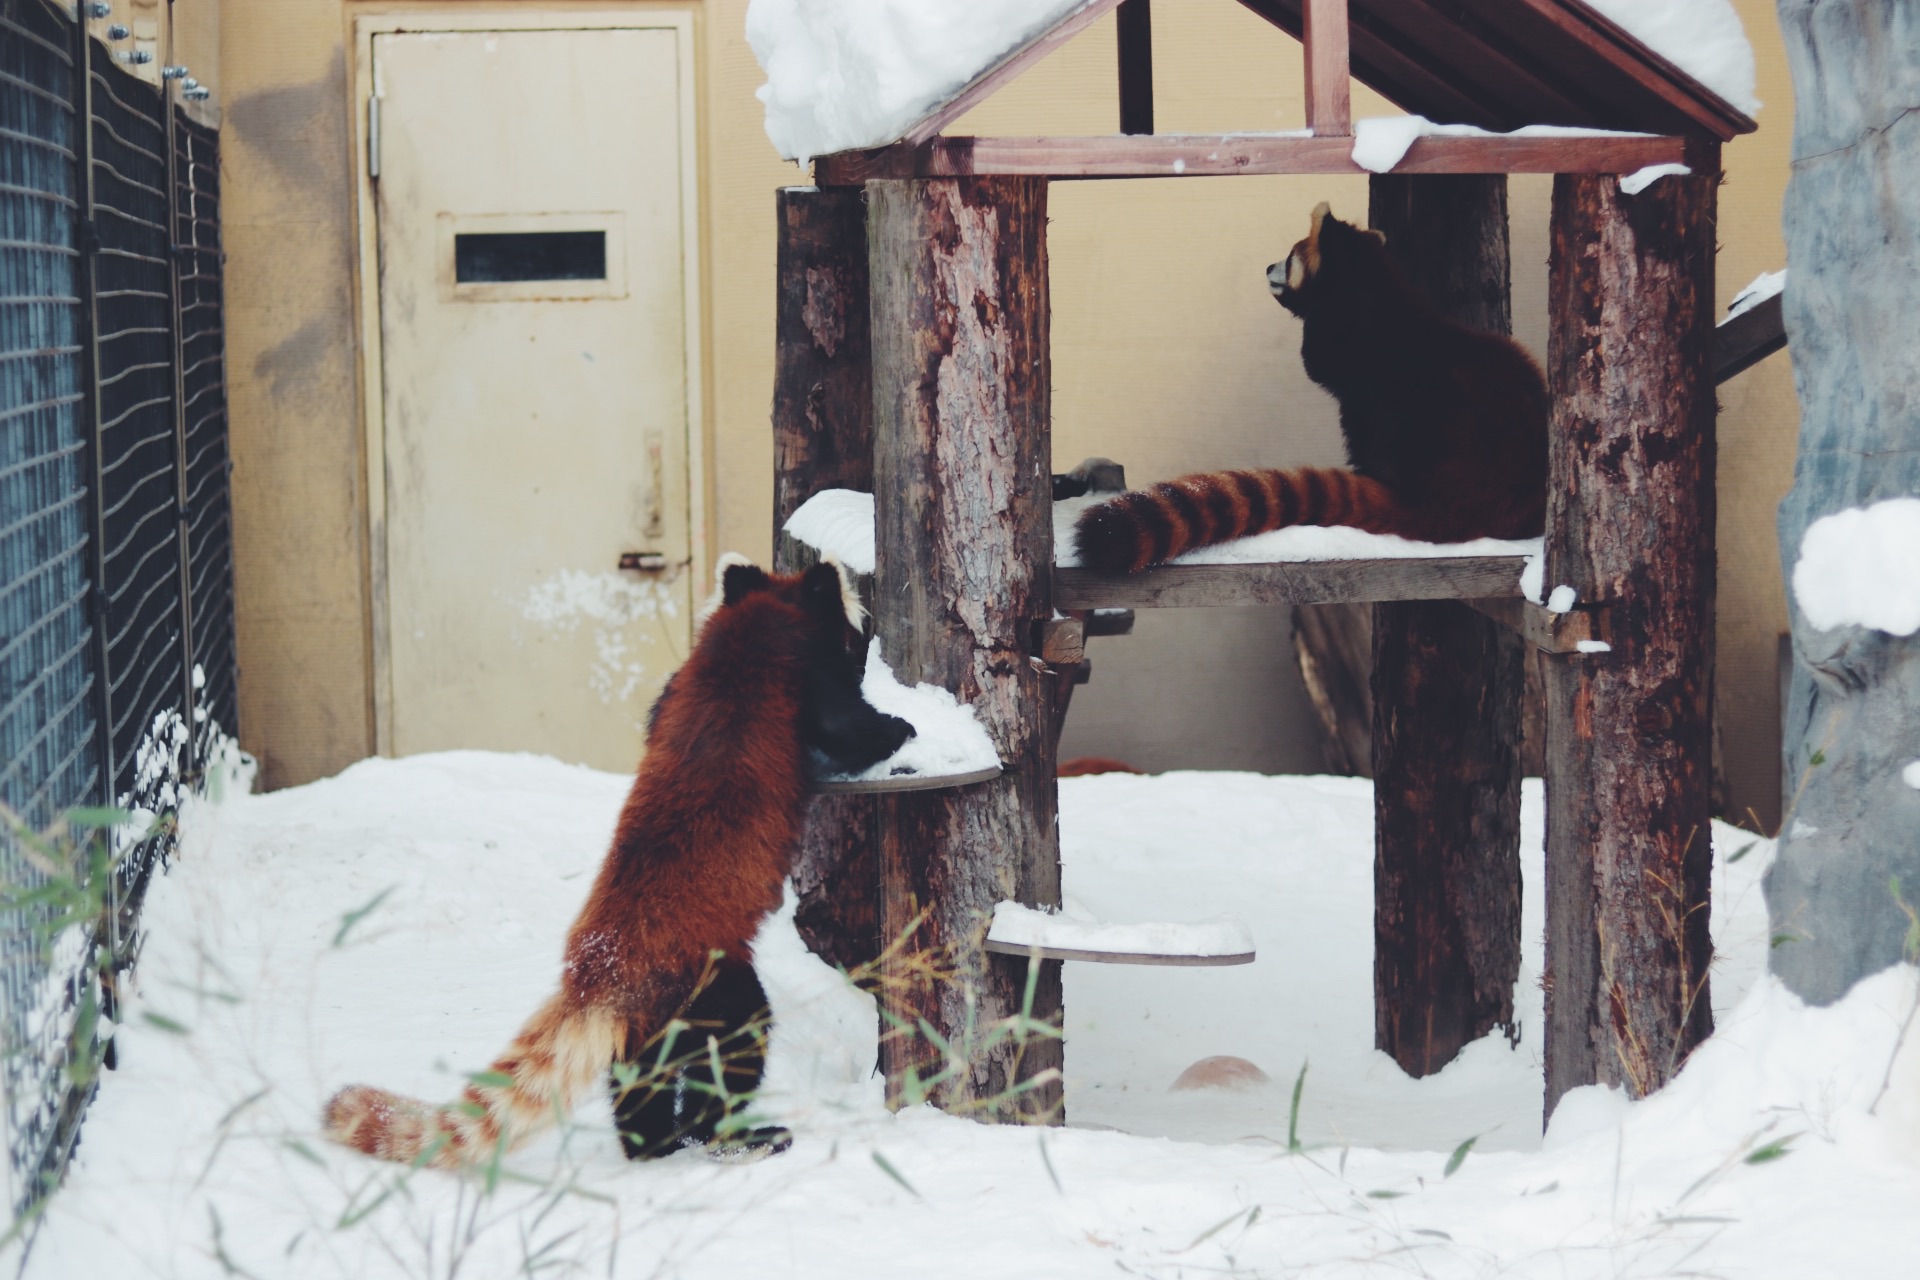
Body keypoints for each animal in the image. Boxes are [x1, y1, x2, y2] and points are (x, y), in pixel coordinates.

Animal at [324, 556, 913, 1166]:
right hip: (712, 983)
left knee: (637, 1074)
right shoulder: (802, 681)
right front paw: (901, 729)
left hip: (650, 1021)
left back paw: (650, 1145)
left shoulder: (675, 688)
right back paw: (734, 1135)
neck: (741, 636)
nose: (865, 632)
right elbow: (848, 731)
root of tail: (599, 973)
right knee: (732, 1047)